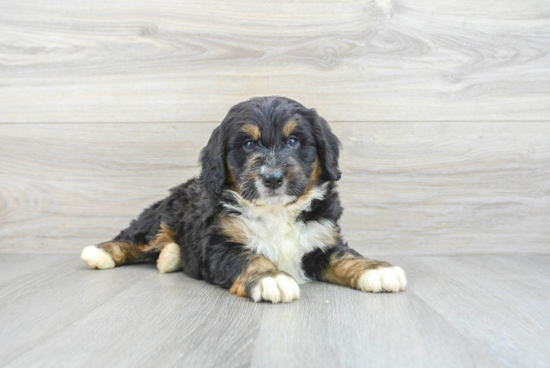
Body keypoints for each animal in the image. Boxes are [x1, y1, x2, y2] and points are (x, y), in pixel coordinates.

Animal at [83, 96, 410, 304]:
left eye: (293, 141)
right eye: (249, 144)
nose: (273, 177)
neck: (276, 212)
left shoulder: (321, 239)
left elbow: (344, 256)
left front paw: (376, 269)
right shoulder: (219, 244)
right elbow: (250, 258)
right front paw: (271, 278)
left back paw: (171, 257)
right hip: (162, 216)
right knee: (135, 238)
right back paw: (101, 253)